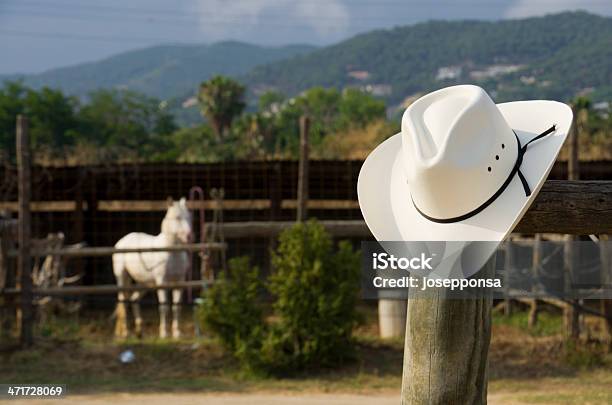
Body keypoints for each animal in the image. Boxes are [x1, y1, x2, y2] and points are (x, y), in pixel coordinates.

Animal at [112, 196, 192, 338]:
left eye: (188, 217)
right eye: (177, 217)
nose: (189, 236)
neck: (172, 254)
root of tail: (122, 241)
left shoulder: (179, 282)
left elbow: (176, 307)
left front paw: (177, 333)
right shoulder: (162, 282)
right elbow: (163, 307)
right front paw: (164, 333)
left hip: (144, 283)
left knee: (133, 300)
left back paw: (139, 331)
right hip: (122, 277)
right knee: (123, 301)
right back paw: (125, 332)